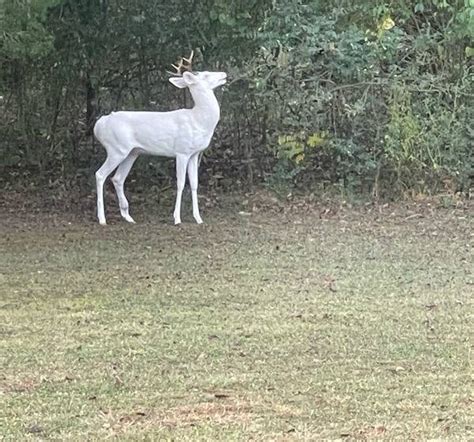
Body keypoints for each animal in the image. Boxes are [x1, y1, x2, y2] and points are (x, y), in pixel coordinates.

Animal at [93, 51, 227, 224]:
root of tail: (99, 125)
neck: (198, 120)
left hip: (131, 152)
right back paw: (102, 219)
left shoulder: (194, 153)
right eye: (206, 74)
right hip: (116, 149)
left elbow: (195, 184)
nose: (224, 74)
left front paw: (198, 218)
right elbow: (181, 183)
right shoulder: (181, 151)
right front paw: (177, 218)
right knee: (100, 174)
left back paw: (128, 216)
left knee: (118, 178)